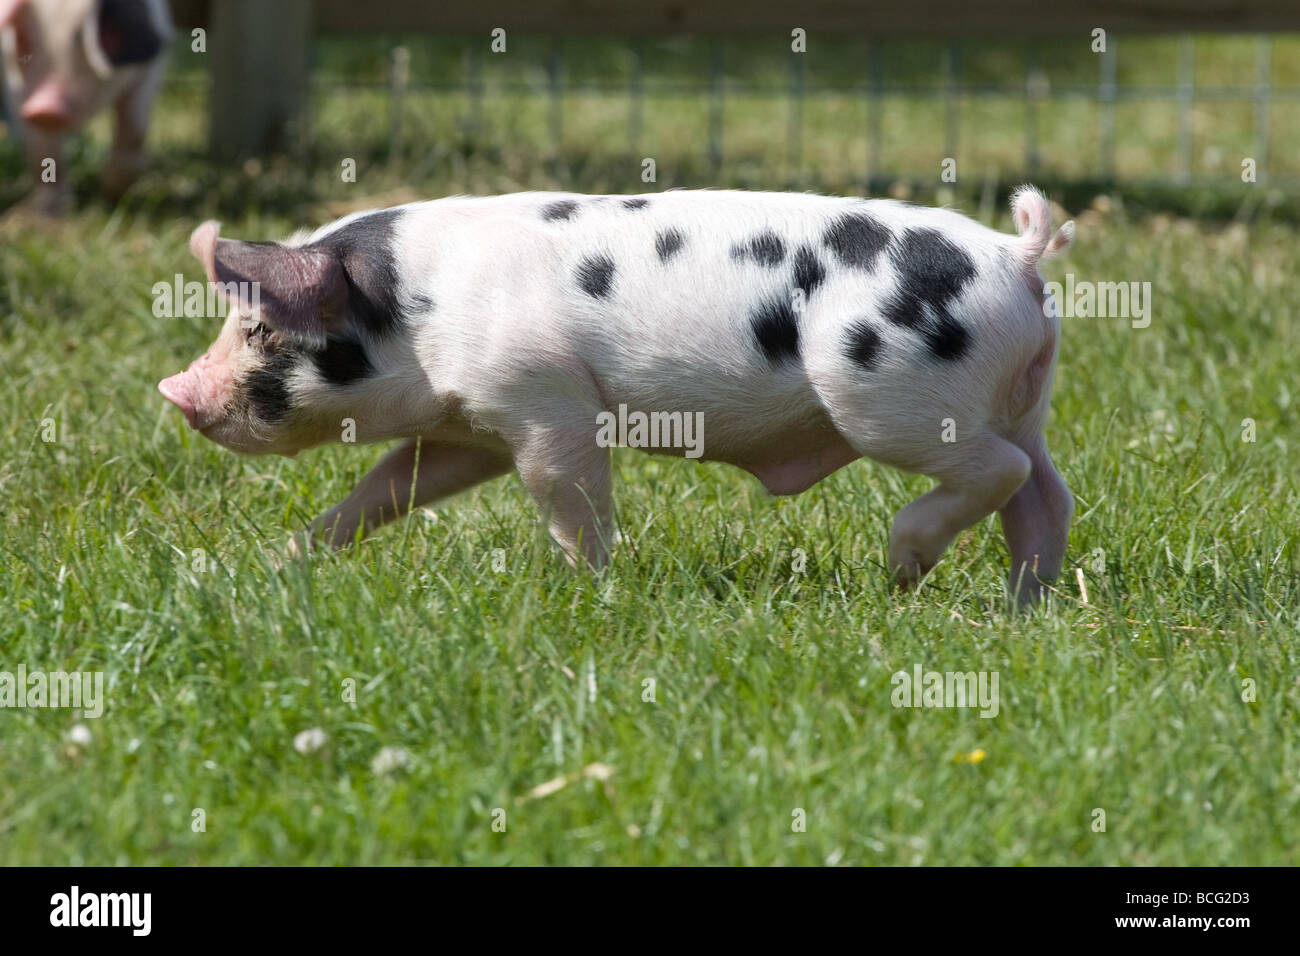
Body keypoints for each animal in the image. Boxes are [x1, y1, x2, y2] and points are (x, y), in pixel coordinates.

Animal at [1, 0, 171, 214]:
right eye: (24, 38)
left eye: (79, 36)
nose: (46, 109)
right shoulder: (17, 90)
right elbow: (42, 151)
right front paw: (49, 213)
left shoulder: (149, 67)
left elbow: (133, 129)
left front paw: (111, 199)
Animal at [159, 189, 1076, 600]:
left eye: (259, 330)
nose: (176, 392)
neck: (418, 313)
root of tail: (1016, 257)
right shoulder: (468, 426)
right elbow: (389, 487)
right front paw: (284, 561)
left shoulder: (543, 401)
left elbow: (568, 497)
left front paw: (588, 590)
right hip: (1022, 399)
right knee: (1046, 491)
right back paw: (1023, 604)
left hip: (889, 397)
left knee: (999, 474)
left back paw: (903, 564)